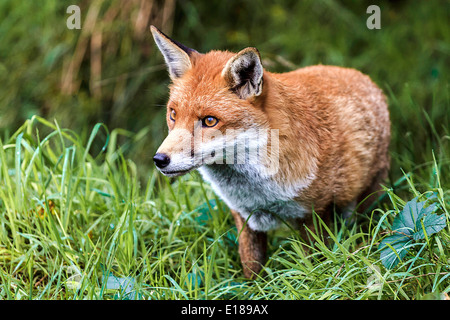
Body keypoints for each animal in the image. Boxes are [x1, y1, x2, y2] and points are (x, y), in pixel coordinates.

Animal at [150, 26, 390, 278]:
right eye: (173, 114)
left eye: (209, 121)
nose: (159, 159)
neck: (260, 192)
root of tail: (359, 75)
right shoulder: (244, 217)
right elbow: (252, 271)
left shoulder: (315, 213)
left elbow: (315, 265)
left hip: (367, 200)